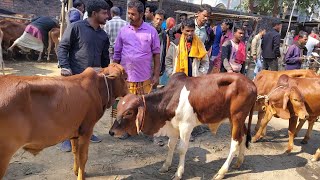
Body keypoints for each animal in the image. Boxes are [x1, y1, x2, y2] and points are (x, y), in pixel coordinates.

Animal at [109, 72, 256, 180]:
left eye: (129, 112)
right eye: (119, 107)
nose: (111, 132)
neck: (171, 99)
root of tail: (251, 83)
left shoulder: (186, 126)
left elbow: (181, 149)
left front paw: (178, 173)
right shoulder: (173, 126)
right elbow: (170, 145)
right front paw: (166, 166)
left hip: (237, 117)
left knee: (235, 142)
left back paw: (222, 172)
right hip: (236, 119)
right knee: (243, 135)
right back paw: (239, 162)